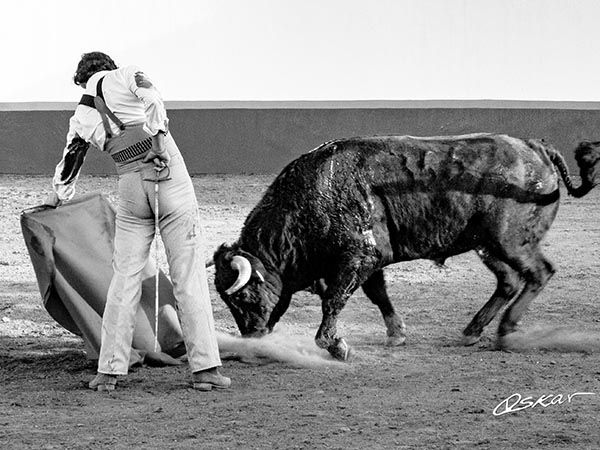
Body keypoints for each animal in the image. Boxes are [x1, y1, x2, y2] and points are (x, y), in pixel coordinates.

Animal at [213, 133, 596, 358]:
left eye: (243, 296)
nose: (252, 337)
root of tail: (537, 147)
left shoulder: (359, 258)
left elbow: (335, 300)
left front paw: (336, 345)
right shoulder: (370, 261)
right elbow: (378, 295)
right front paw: (396, 334)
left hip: (511, 241)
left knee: (539, 273)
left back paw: (504, 332)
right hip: (487, 245)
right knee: (509, 282)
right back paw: (472, 332)